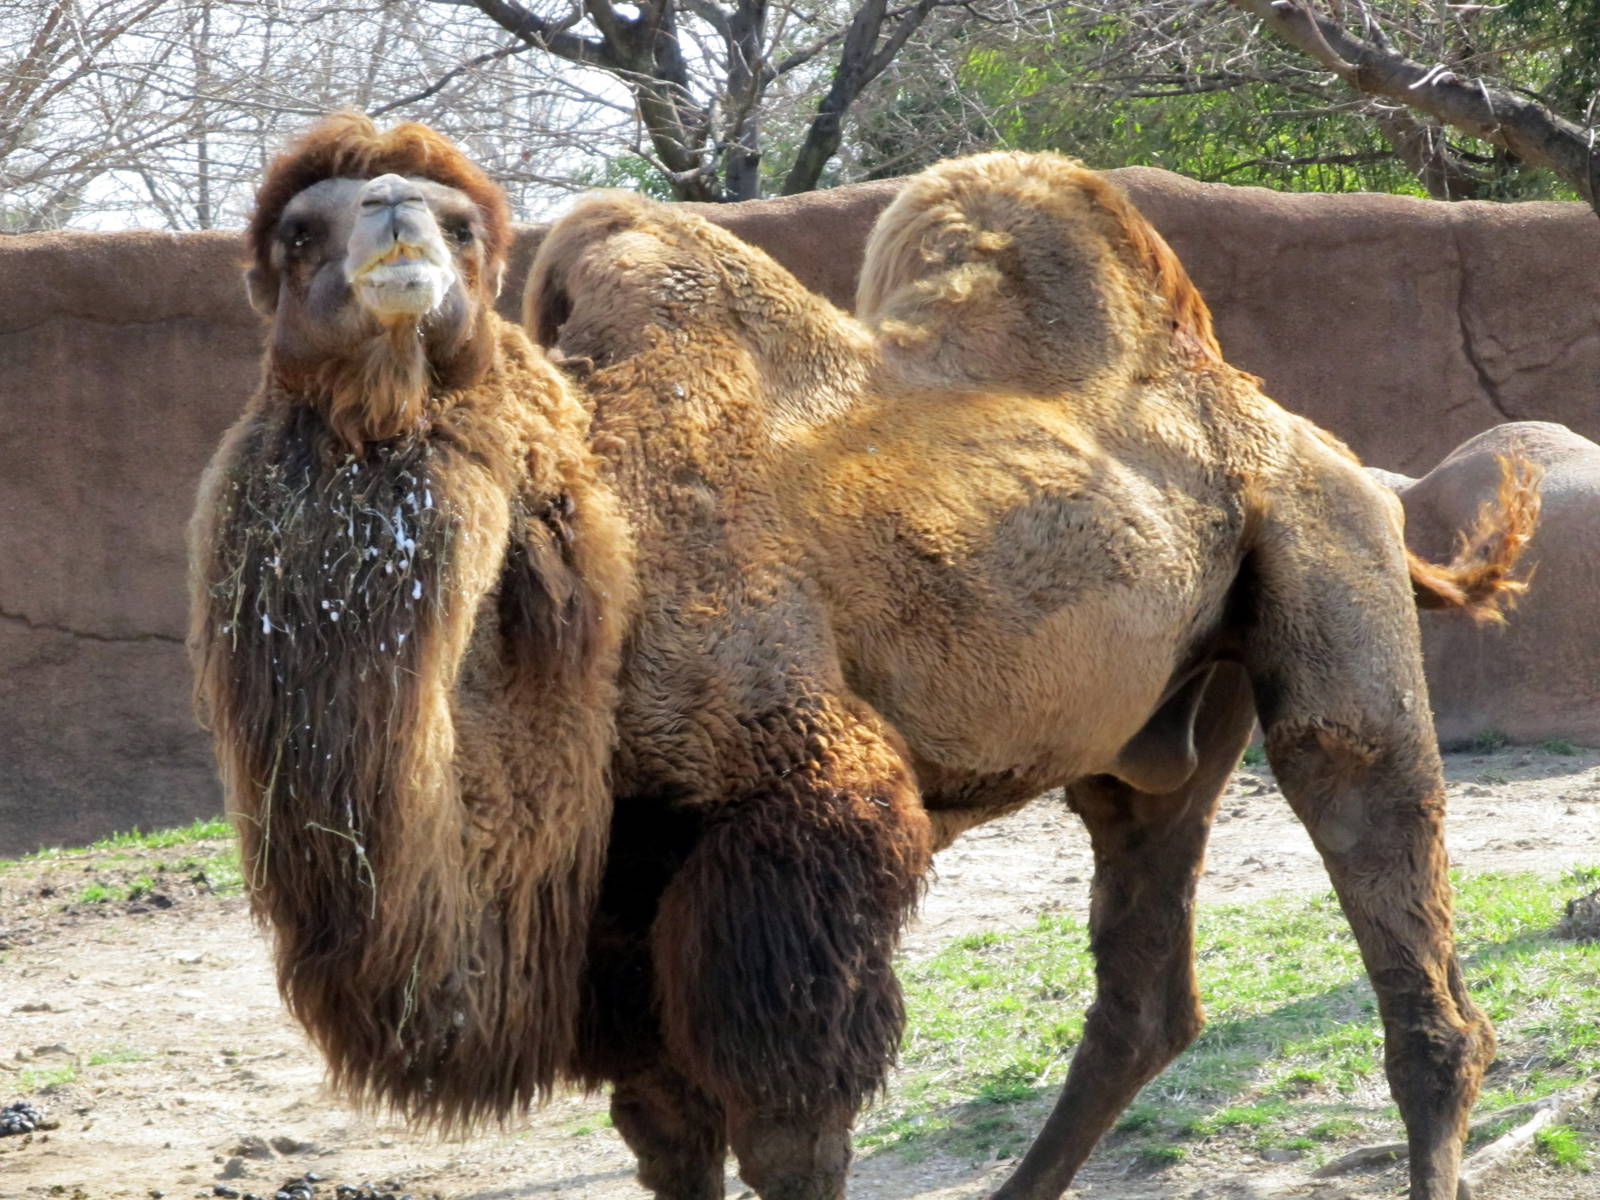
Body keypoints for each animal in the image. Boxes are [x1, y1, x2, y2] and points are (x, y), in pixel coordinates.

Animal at [191, 117, 1537, 1200]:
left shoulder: (792, 811)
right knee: (1147, 982)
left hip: (1324, 551)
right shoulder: (623, 880)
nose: (396, 220)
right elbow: (663, 1127)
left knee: (1383, 873)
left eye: (466, 227)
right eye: (298, 233)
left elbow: (791, 1128)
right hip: (1155, 729)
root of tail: (1299, 428)